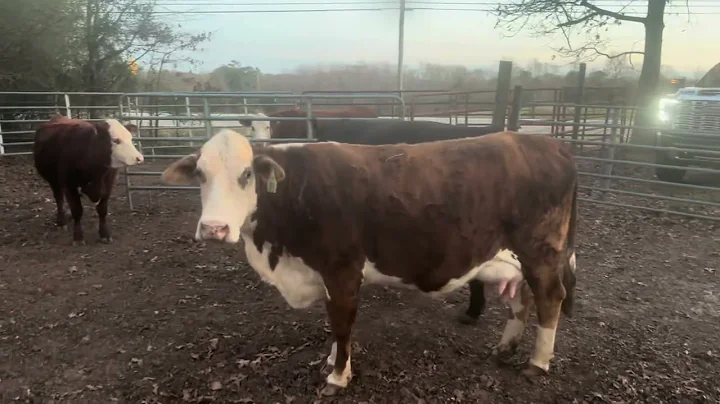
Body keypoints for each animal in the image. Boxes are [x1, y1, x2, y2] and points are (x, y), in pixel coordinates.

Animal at [33, 115, 144, 245]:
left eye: (131, 138)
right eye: (116, 140)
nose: (139, 158)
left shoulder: (108, 185)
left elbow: (102, 209)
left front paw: (104, 234)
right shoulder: (69, 186)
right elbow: (77, 210)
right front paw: (78, 237)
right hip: (53, 180)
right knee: (59, 199)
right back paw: (61, 221)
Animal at [161, 129, 578, 394]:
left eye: (247, 174)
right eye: (200, 174)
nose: (214, 228)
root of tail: (545, 142)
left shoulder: (342, 270)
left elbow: (342, 324)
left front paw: (338, 376)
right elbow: (333, 326)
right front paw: (332, 361)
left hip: (540, 250)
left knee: (550, 297)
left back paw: (537, 363)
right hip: (516, 259)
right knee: (522, 299)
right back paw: (505, 349)